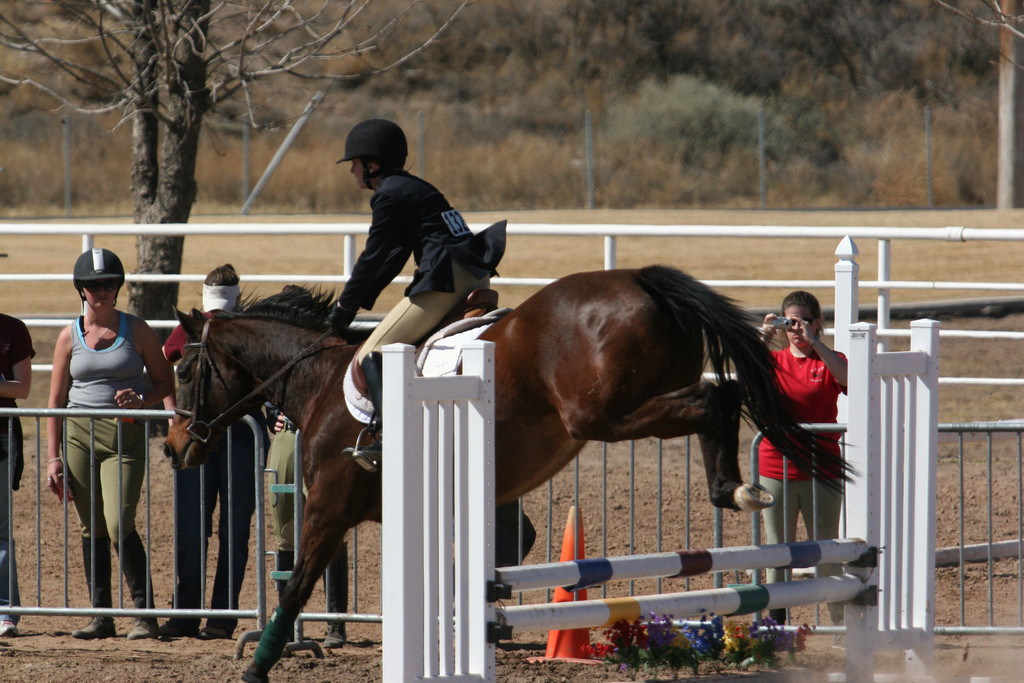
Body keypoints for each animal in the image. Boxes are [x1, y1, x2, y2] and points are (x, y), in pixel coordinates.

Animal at [163, 264, 843, 679]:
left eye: (183, 370)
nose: (173, 449)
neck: (320, 384)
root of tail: (639, 281)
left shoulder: (329, 511)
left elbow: (298, 584)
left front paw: (258, 665)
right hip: (638, 399)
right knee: (719, 394)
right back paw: (733, 487)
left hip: (602, 415)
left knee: (714, 397)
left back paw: (734, 487)